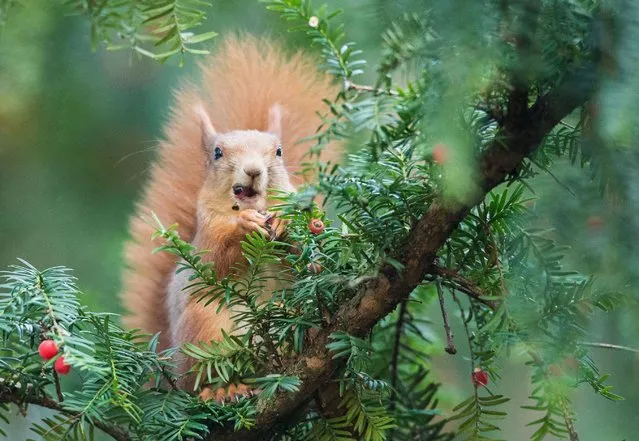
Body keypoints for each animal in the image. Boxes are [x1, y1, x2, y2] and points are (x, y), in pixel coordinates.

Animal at [119, 35, 340, 398]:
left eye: (278, 152)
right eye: (218, 153)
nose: (252, 170)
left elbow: (312, 264)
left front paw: (291, 224)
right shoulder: (206, 237)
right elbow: (212, 261)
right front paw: (244, 229)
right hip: (204, 329)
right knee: (205, 377)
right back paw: (224, 389)